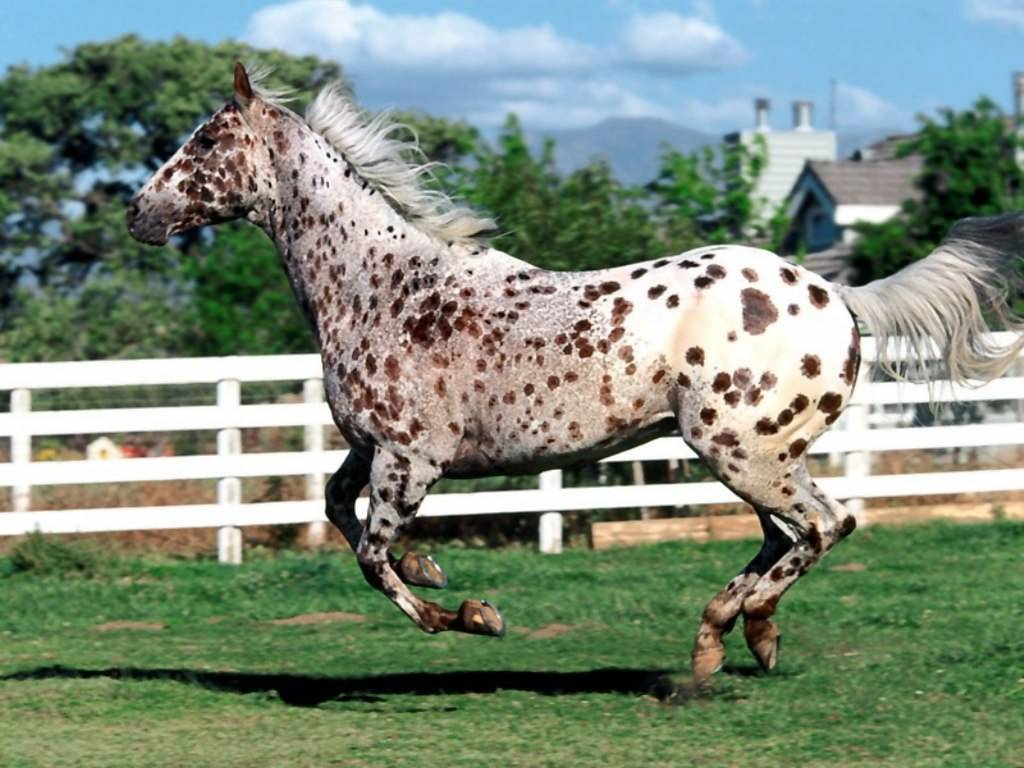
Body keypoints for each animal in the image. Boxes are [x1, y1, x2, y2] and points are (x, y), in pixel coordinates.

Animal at [128, 63, 1024, 687]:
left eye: (204, 142)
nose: (138, 212)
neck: (381, 286)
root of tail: (836, 295)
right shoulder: (367, 449)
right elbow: (337, 511)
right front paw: (434, 569)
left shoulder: (410, 459)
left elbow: (374, 558)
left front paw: (474, 614)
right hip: (755, 456)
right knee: (786, 537)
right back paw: (736, 638)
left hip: (743, 451)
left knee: (823, 526)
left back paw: (730, 635)